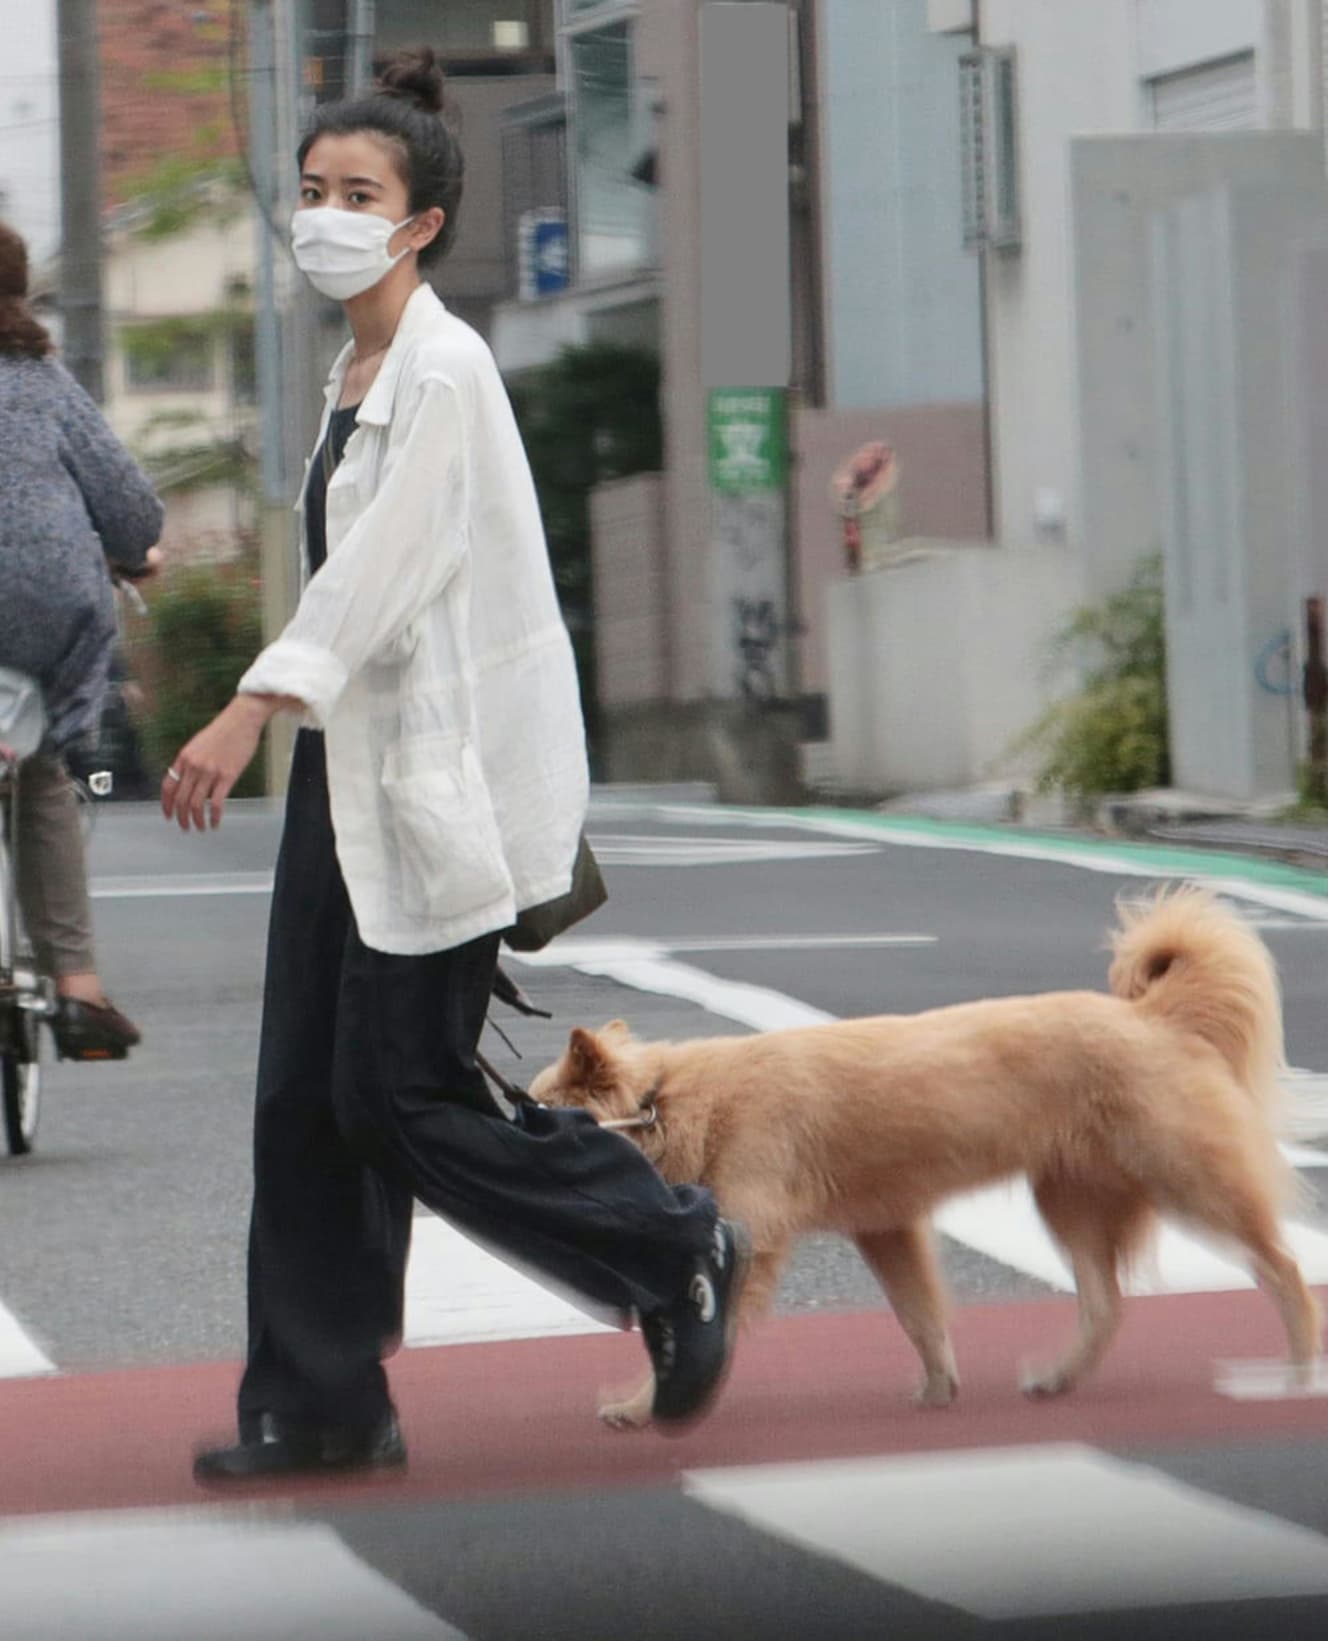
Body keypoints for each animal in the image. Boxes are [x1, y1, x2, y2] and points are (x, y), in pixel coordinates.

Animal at [528, 886, 1313, 1424]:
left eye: (532, 1109)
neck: (669, 1101)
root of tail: (1152, 1015)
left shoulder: (756, 1244)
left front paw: (639, 1406)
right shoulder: (887, 1230)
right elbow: (921, 1319)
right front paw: (939, 1389)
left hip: (1191, 1184)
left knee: (1283, 1268)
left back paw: (1303, 1370)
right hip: (1067, 1204)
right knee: (1106, 1304)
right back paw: (1058, 1377)